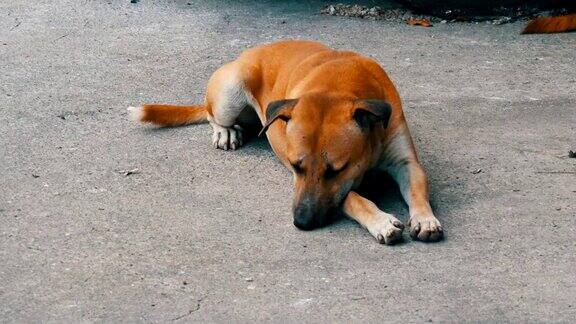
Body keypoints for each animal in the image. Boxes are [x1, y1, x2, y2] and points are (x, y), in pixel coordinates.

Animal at [130, 39, 444, 243]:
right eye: (295, 167)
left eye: (336, 170)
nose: (301, 223)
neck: (342, 85)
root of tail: (247, 54)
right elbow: (353, 198)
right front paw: (380, 221)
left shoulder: (406, 162)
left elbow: (417, 188)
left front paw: (425, 217)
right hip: (231, 90)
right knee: (211, 114)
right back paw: (224, 130)